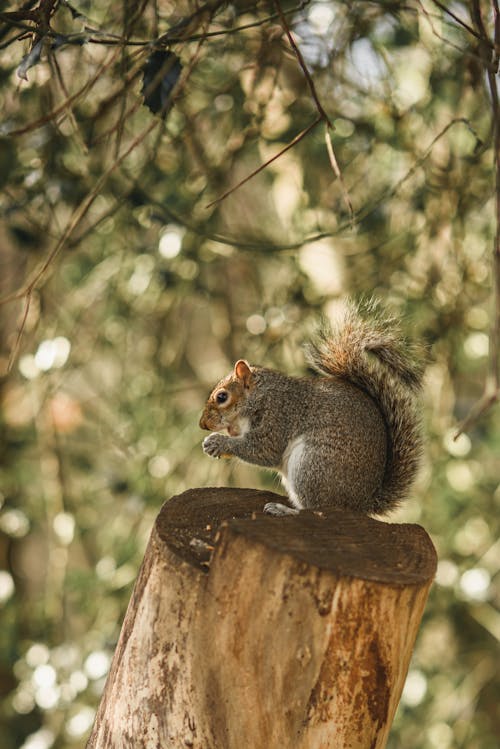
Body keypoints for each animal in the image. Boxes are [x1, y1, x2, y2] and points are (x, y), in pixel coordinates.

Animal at [197, 296, 424, 516]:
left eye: (222, 397)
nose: (203, 425)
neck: (260, 396)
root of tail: (361, 504)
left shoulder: (278, 417)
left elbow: (262, 450)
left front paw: (218, 442)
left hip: (312, 465)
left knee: (316, 508)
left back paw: (284, 510)